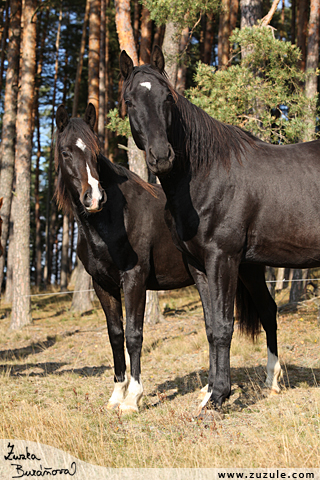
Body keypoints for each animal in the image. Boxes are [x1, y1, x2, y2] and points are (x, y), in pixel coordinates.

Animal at [55, 104, 195, 412]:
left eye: (95, 152)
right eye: (65, 152)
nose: (94, 197)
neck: (114, 220)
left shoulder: (134, 280)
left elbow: (134, 334)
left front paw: (133, 398)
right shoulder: (102, 285)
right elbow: (116, 334)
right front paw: (117, 394)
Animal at [119, 47, 320, 410]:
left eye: (167, 98)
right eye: (129, 101)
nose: (162, 157)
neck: (209, 173)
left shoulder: (222, 258)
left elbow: (225, 326)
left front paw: (218, 397)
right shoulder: (199, 265)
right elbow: (211, 326)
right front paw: (212, 390)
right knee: (268, 311)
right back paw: (272, 380)